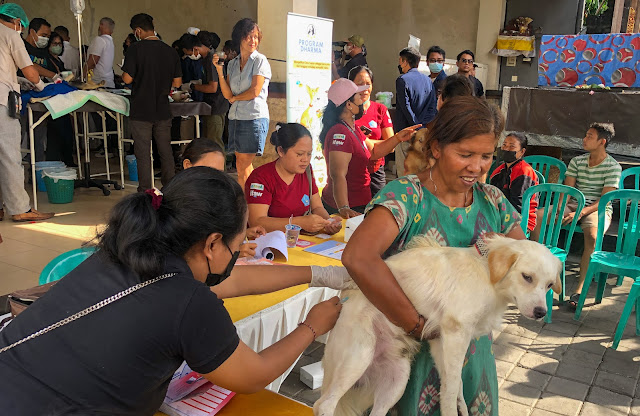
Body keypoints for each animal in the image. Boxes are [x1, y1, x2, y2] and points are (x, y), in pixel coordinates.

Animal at [314, 236, 560, 414]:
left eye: (549, 285)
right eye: (527, 277)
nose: (541, 312)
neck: (487, 272)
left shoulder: (440, 341)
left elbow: (456, 383)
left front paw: (462, 406)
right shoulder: (456, 333)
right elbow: (450, 390)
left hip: (398, 379)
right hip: (358, 356)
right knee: (323, 404)